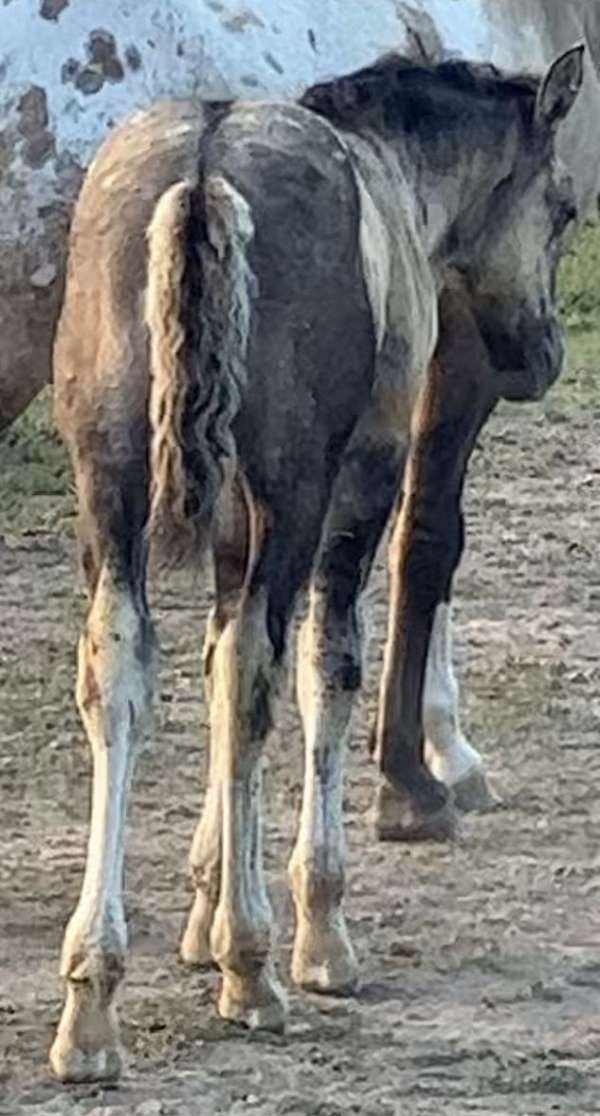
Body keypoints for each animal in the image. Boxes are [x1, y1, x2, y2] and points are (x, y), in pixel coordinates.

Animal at [50, 45, 579, 1080]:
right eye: (565, 209)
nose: (541, 356)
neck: (390, 176)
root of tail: (203, 174)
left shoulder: (226, 532)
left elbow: (217, 668)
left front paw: (205, 905)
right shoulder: (360, 485)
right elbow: (322, 671)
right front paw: (316, 929)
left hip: (113, 486)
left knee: (124, 674)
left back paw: (92, 999)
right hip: (291, 491)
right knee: (261, 669)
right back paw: (254, 971)